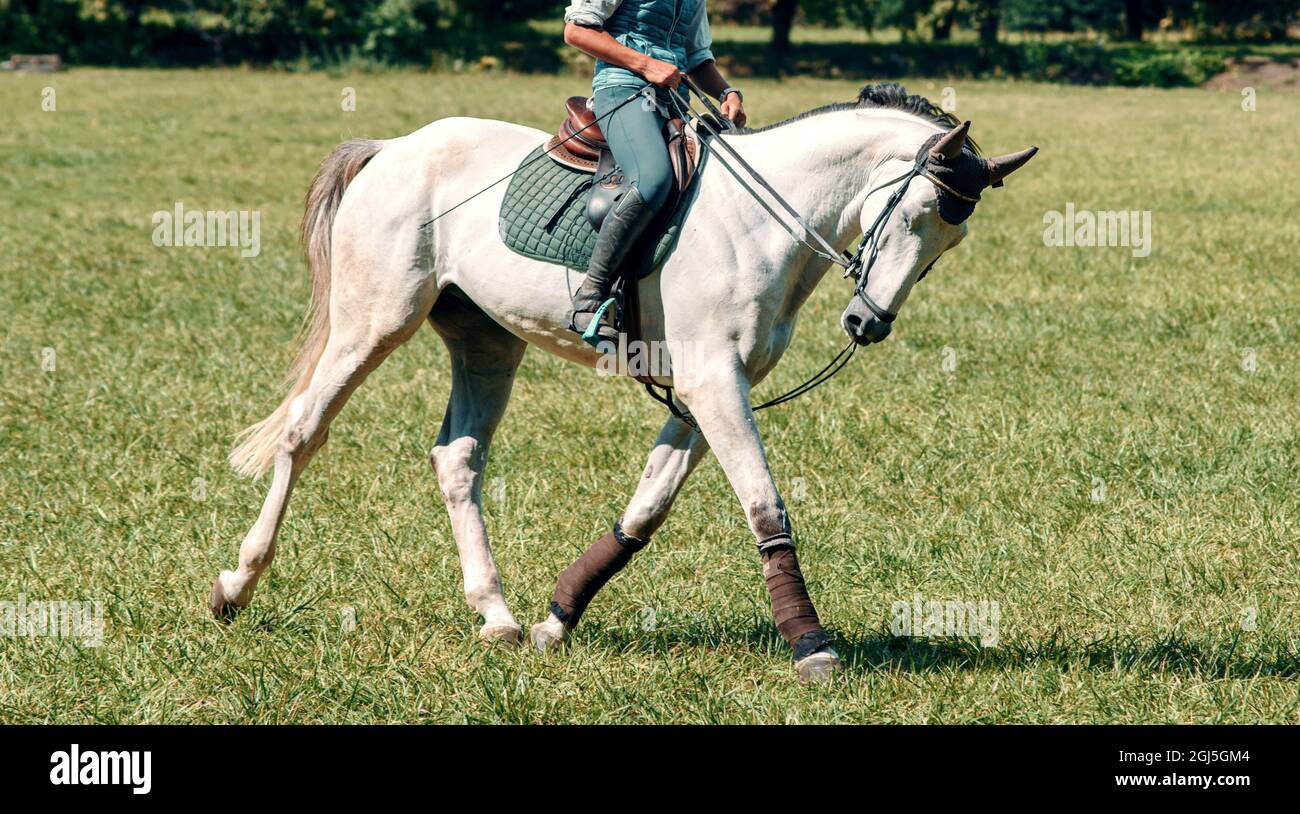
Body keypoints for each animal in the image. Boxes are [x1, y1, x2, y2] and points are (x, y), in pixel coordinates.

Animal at [210, 82, 1034, 676]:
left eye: (952, 240)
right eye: (917, 210)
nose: (868, 323)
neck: (764, 221)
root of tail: (393, 148)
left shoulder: (709, 391)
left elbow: (647, 507)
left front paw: (557, 618)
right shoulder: (714, 384)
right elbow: (764, 506)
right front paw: (811, 644)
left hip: (486, 343)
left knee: (457, 460)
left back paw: (497, 616)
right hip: (374, 323)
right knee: (303, 432)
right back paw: (236, 587)